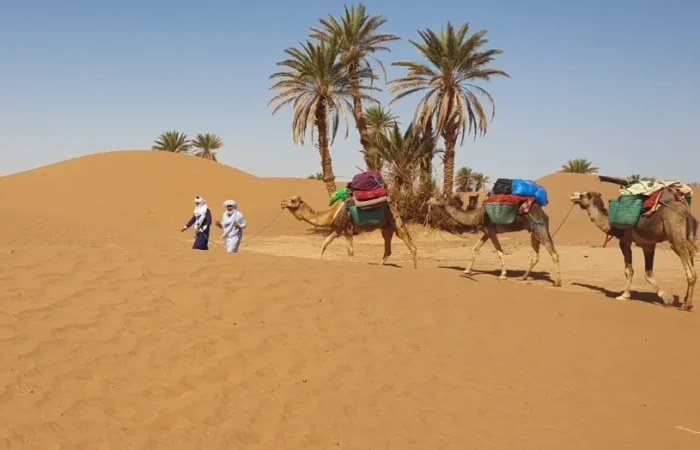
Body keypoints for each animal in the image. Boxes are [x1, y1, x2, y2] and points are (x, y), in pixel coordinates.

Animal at [280, 196, 419, 268]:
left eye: (293, 200)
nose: (282, 202)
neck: (331, 214)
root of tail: (396, 209)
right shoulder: (337, 231)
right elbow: (324, 244)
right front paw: (319, 260)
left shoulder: (348, 230)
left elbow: (350, 250)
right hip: (386, 228)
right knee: (388, 248)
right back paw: (379, 265)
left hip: (396, 223)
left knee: (410, 244)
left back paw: (415, 268)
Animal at [427, 194, 562, 286]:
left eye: (437, 198)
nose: (428, 201)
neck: (476, 216)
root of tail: (544, 213)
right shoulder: (487, 232)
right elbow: (475, 248)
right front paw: (466, 271)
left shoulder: (491, 231)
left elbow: (499, 252)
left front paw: (503, 275)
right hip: (533, 231)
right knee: (536, 256)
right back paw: (523, 277)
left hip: (540, 227)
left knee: (554, 253)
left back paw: (557, 282)